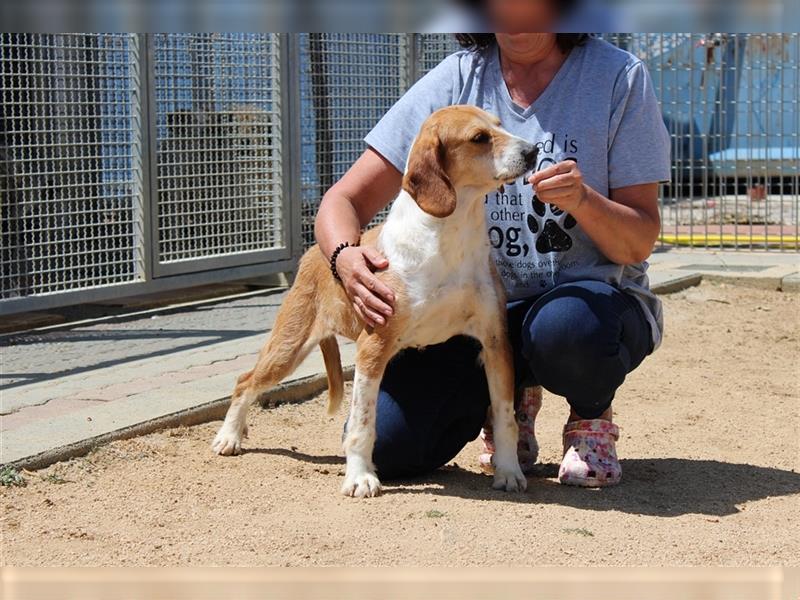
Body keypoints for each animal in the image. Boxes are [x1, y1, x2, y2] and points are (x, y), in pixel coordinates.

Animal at [212, 105, 536, 500]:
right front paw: (360, 477)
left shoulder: (495, 342)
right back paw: (229, 436)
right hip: (287, 349)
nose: (533, 151)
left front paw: (508, 471)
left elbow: (505, 417)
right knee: (245, 381)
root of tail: (311, 253)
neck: (450, 237)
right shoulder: (373, 347)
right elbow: (363, 426)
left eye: (500, 126)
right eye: (479, 138)